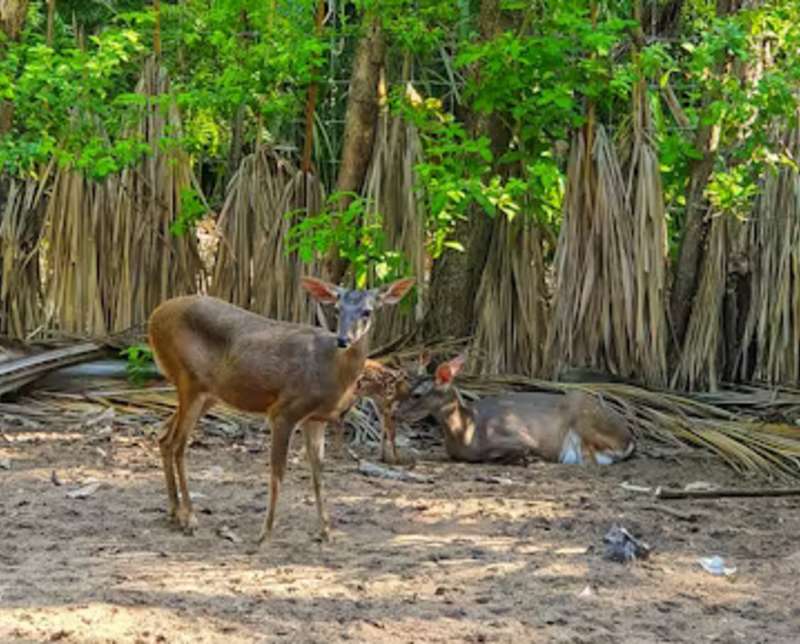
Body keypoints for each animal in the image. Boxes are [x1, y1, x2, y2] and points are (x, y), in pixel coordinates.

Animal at [147, 276, 415, 543]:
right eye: (337, 309)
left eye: (367, 311)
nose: (343, 340)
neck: (332, 371)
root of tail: (154, 316)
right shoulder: (283, 410)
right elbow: (278, 472)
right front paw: (265, 532)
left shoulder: (315, 419)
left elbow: (318, 473)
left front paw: (326, 531)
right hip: (189, 379)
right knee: (178, 445)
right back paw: (190, 518)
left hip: (208, 394)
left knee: (164, 437)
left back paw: (174, 511)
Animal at [397, 354, 636, 466]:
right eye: (406, 388)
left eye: (416, 394)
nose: (396, 412)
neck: (468, 432)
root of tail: (629, 438)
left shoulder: (519, 435)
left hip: (584, 418)